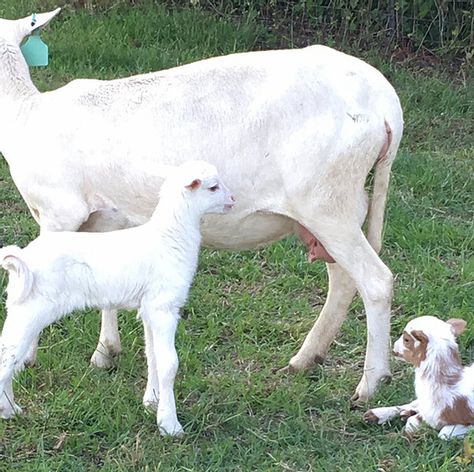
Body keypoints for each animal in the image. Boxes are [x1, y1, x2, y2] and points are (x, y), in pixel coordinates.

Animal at [0, 7, 404, 400]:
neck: (24, 113)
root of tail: (386, 105)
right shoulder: (103, 220)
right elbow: (106, 283)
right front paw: (106, 353)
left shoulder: (59, 211)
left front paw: (26, 358)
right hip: (344, 204)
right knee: (343, 280)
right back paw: (306, 359)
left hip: (327, 201)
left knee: (376, 282)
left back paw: (369, 384)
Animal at [0, 161, 235, 436]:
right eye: (213, 187)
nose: (233, 200)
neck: (170, 238)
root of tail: (22, 261)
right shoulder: (164, 306)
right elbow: (169, 363)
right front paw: (170, 425)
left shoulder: (149, 307)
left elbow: (153, 355)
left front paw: (152, 402)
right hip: (31, 310)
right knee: (8, 356)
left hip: (21, 309)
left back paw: (10, 409)